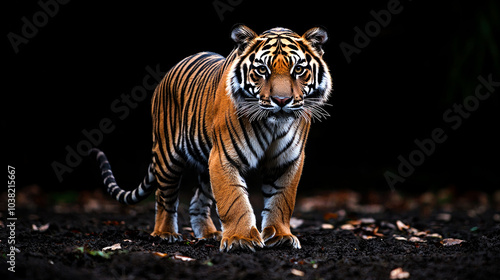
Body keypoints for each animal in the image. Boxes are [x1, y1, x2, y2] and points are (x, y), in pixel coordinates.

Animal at [91, 24, 332, 252]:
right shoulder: (224, 157)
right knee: (164, 198)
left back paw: (208, 234)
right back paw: (164, 233)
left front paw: (281, 237)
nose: (281, 100)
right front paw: (240, 240)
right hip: (168, 157)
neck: (272, 125)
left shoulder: (288, 160)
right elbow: (234, 200)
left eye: (298, 69)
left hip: (204, 165)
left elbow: (282, 200)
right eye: (262, 70)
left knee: (197, 202)